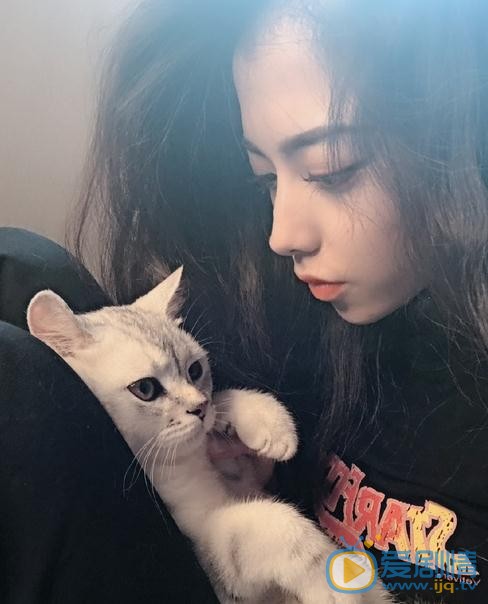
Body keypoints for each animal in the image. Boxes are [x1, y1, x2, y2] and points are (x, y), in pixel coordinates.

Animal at [27, 267, 394, 604]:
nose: (199, 408)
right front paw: (337, 582)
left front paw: (271, 424)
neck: (182, 467)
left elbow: (228, 399)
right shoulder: (208, 557)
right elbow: (275, 525)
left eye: (195, 370)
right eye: (145, 389)